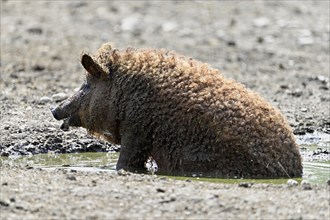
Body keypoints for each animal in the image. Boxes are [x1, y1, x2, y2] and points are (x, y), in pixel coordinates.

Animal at [51, 42, 302, 178]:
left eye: (87, 85)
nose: (54, 110)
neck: (124, 91)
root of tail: (295, 168)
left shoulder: (137, 130)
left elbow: (126, 164)